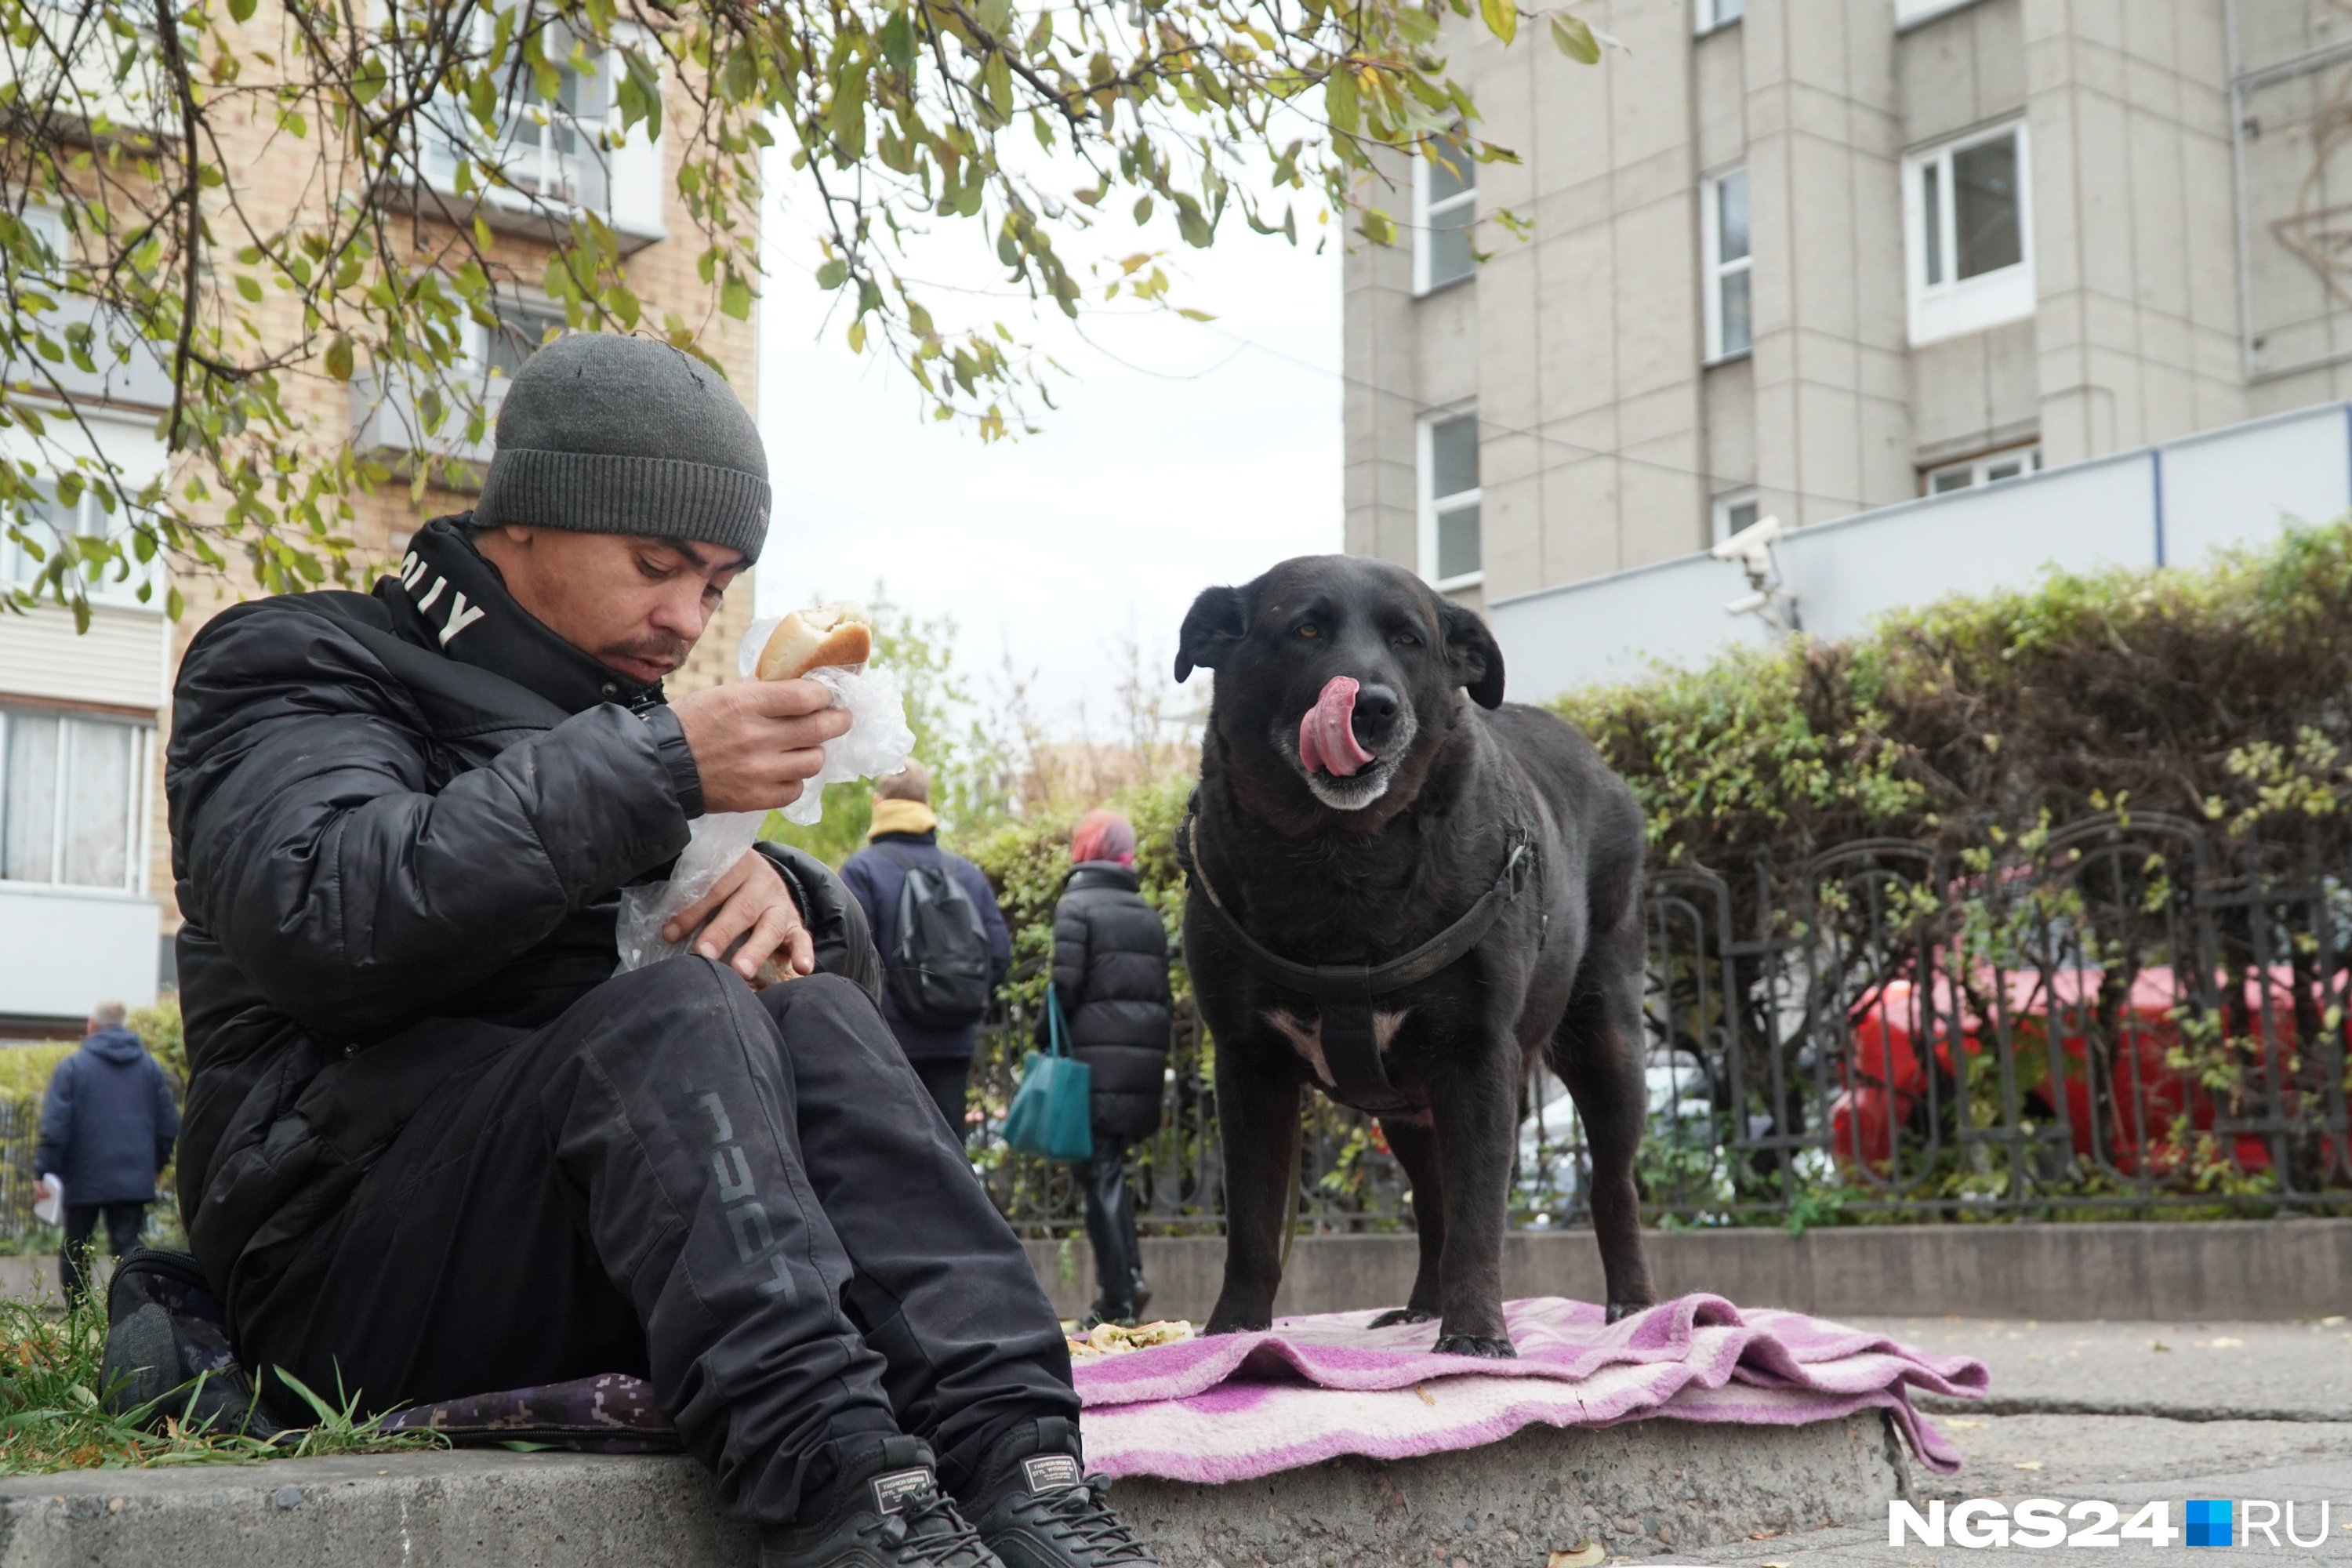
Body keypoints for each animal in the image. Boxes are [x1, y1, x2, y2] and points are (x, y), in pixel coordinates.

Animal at [1176, 552, 1656, 1354]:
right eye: (1305, 629)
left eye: (1409, 640)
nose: (1371, 707)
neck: (1339, 859)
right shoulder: (1247, 1065)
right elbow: (1251, 1221)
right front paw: (1234, 1332)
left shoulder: (1477, 1059)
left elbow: (1479, 1220)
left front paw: (1478, 1336)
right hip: (1403, 1107)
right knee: (1432, 1199)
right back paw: (1422, 1304)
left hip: (1606, 1043)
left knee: (1609, 1184)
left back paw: (1635, 1307)